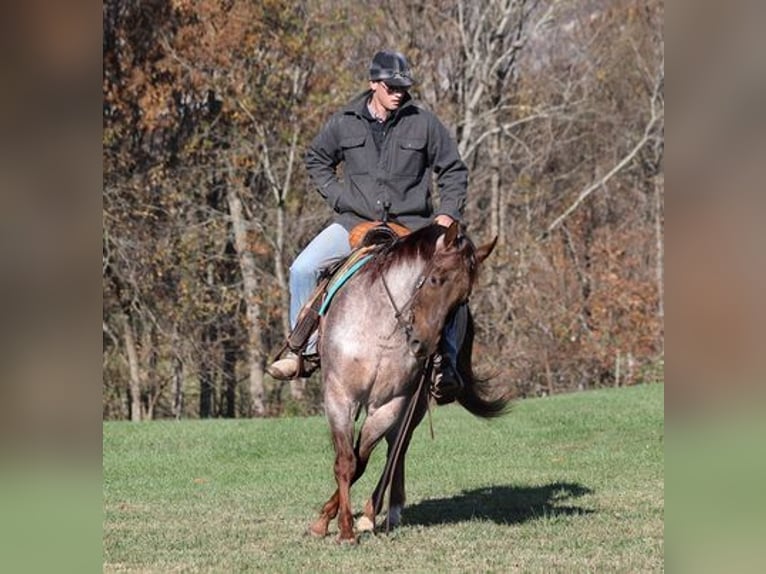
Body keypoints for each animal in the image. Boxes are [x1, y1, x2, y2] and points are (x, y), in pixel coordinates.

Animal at [308, 224, 508, 544]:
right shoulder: (340, 396)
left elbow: (361, 459)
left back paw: (381, 511)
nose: (422, 345)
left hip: (415, 406)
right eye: (435, 279)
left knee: (397, 448)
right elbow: (347, 460)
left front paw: (348, 522)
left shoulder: (391, 403)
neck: (380, 331)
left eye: (462, 299)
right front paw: (338, 527)